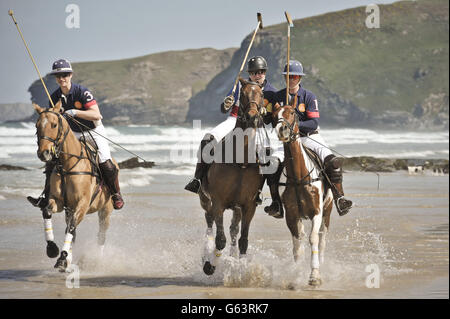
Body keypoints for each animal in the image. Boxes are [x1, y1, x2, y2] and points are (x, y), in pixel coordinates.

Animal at [32, 102, 115, 272]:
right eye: (37, 126)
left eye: (54, 124)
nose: (43, 153)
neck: (67, 164)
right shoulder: (59, 202)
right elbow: (47, 211)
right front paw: (53, 249)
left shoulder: (82, 204)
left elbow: (71, 227)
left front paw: (62, 259)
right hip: (69, 210)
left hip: (105, 210)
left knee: (101, 234)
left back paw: (97, 260)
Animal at [199, 79, 266, 276]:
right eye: (242, 94)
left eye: (261, 94)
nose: (252, 117)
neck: (241, 160)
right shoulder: (218, 202)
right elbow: (220, 239)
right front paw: (210, 265)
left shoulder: (249, 206)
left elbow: (243, 239)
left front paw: (241, 268)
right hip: (205, 198)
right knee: (209, 221)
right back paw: (206, 252)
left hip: (236, 208)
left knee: (233, 230)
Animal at [272, 105, 332, 288]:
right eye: (273, 115)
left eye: (292, 112)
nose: (282, 129)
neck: (298, 176)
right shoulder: (292, 215)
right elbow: (297, 244)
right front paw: (297, 275)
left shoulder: (317, 212)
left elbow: (313, 239)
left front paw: (314, 275)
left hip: (328, 211)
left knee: (322, 239)